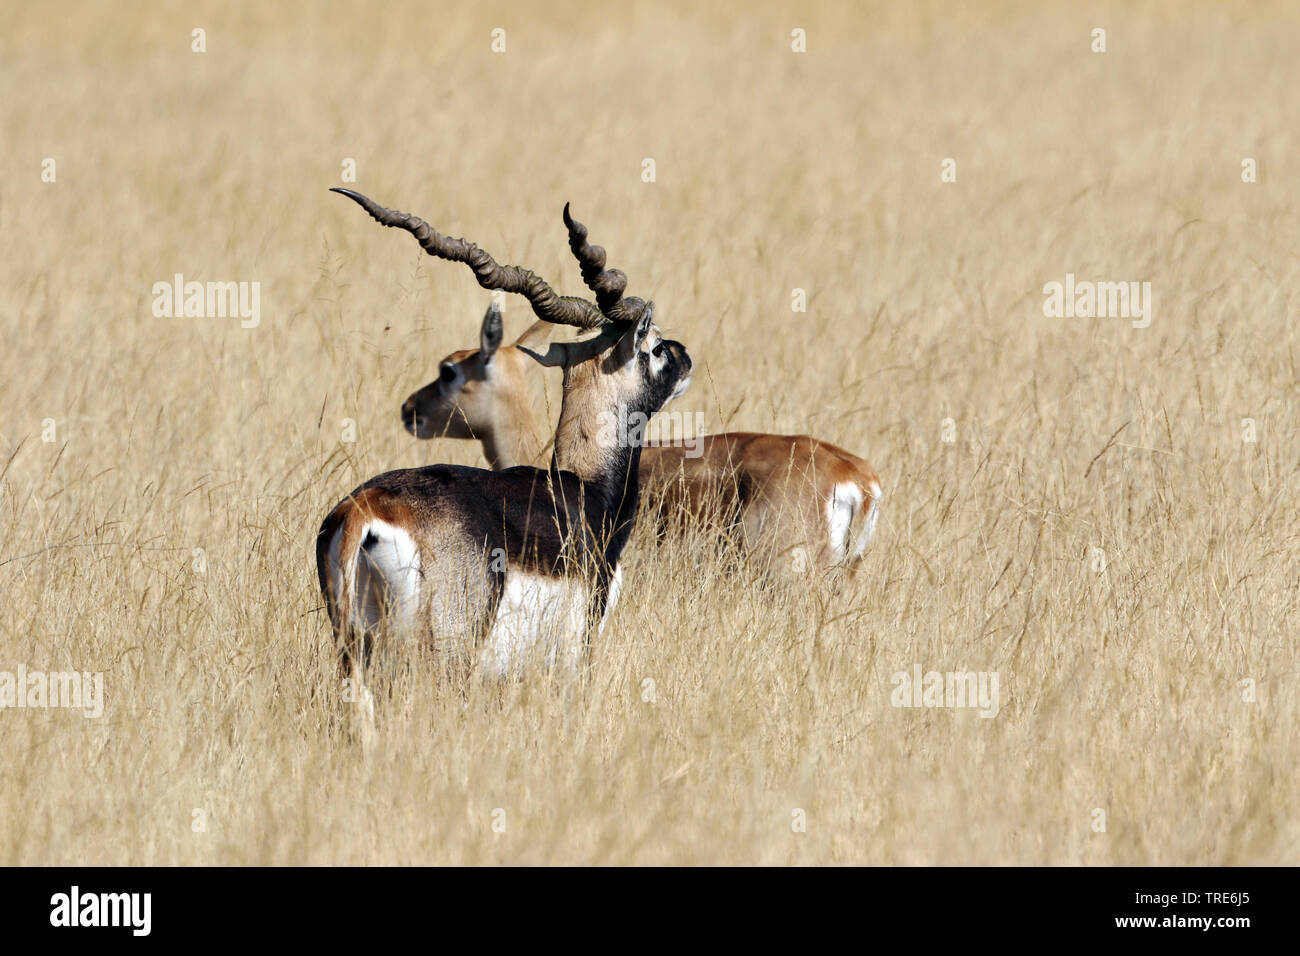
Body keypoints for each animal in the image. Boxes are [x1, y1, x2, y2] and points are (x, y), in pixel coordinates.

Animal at [317, 191, 691, 723]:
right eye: (657, 347)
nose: (686, 355)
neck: (583, 488)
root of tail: (364, 510)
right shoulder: (576, 652)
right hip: (443, 659)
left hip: (355, 653)